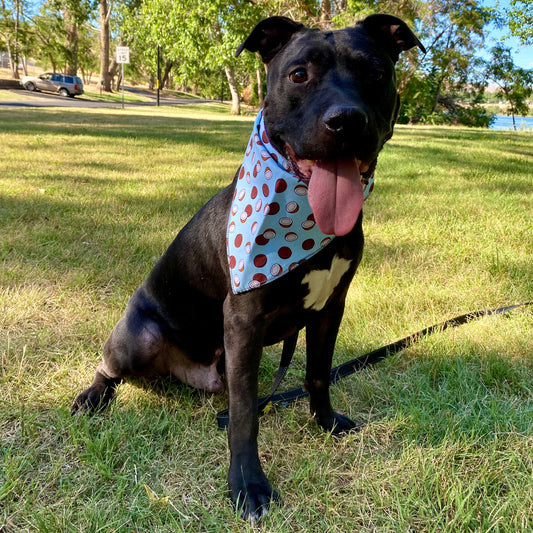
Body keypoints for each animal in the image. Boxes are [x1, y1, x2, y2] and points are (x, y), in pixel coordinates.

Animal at [72, 14, 424, 520]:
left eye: (376, 72)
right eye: (299, 74)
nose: (346, 120)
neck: (306, 220)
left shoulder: (330, 308)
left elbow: (318, 374)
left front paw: (325, 423)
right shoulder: (243, 319)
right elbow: (244, 415)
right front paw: (248, 483)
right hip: (138, 338)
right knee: (109, 368)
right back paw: (92, 396)